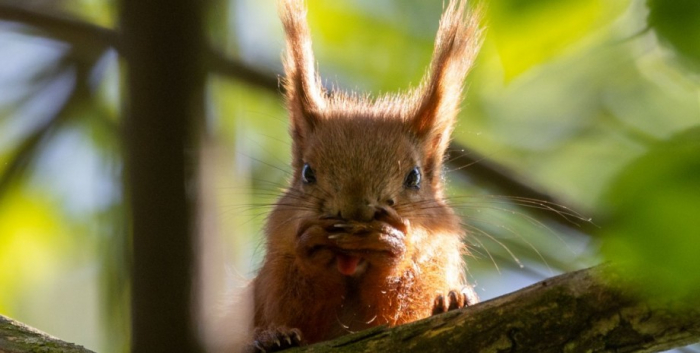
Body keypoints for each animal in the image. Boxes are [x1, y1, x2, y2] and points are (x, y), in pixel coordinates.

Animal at [241, 1, 482, 350]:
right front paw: (311, 244)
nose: (354, 211)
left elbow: (400, 309)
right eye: (307, 173)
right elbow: (292, 308)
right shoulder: (273, 277)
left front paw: (391, 244)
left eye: (414, 177)